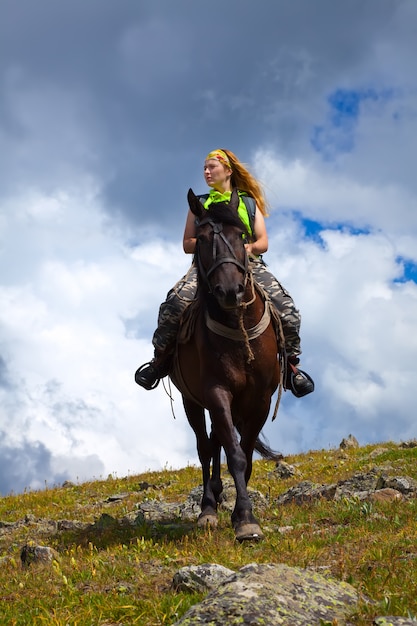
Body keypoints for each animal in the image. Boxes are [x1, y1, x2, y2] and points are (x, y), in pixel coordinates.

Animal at [171, 188, 282, 540]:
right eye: (203, 238)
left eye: (242, 236)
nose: (231, 291)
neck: (237, 327)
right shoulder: (216, 392)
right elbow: (233, 454)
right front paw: (245, 518)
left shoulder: (259, 399)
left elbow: (244, 454)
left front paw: (242, 514)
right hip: (192, 400)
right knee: (205, 447)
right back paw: (208, 506)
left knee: (216, 440)